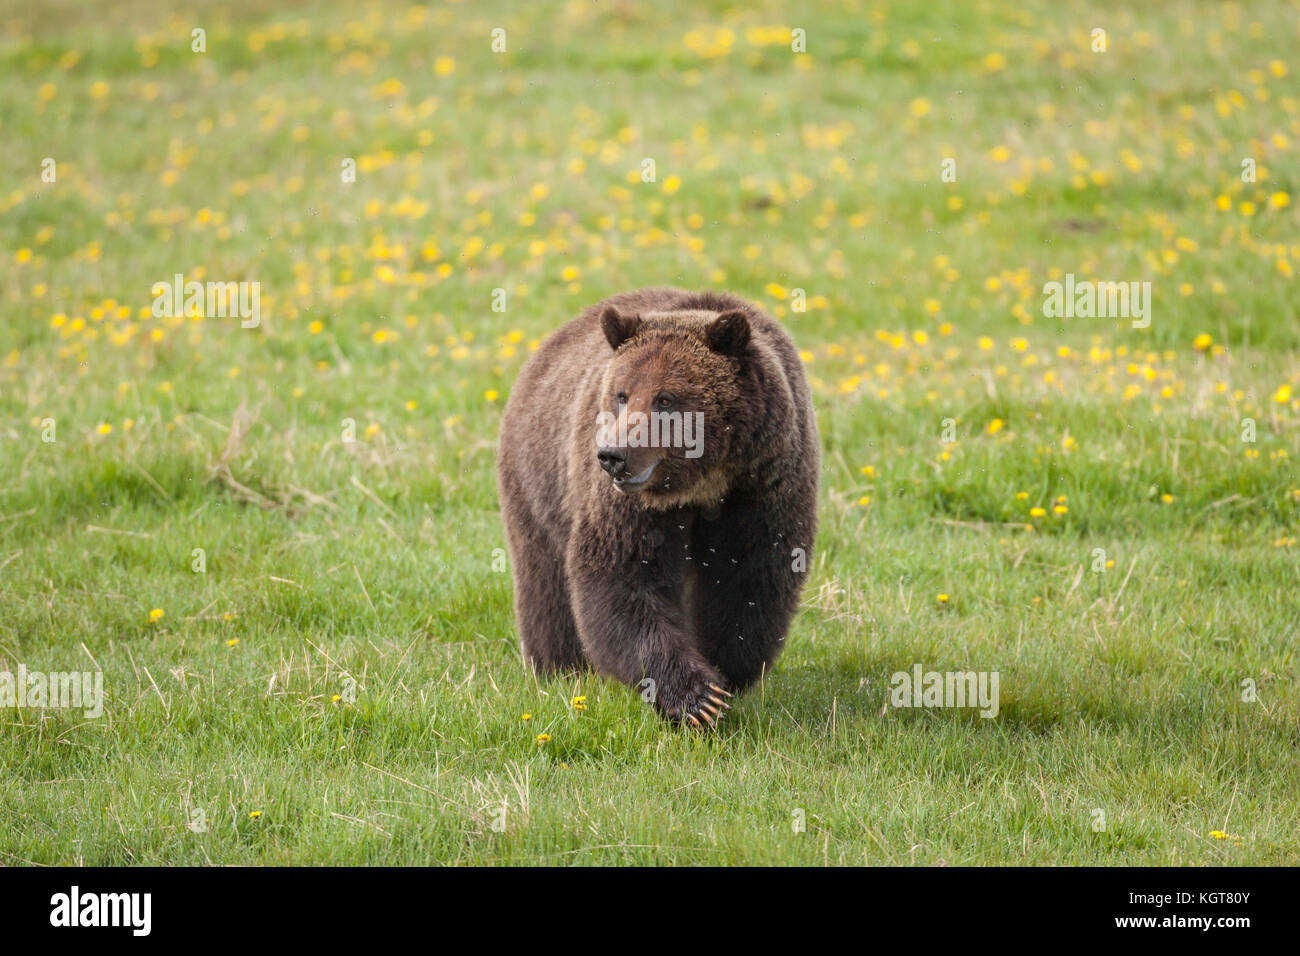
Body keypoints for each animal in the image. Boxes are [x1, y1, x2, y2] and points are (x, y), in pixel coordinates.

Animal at [497, 288, 819, 727]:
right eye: (621, 394)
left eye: (665, 398)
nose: (612, 455)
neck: (703, 484)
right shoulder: (631, 506)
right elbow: (622, 577)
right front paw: (696, 696)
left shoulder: (760, 485)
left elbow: (749, 579)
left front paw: (724, 674)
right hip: (539, 481)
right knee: (544, 581)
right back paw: (559, 669)